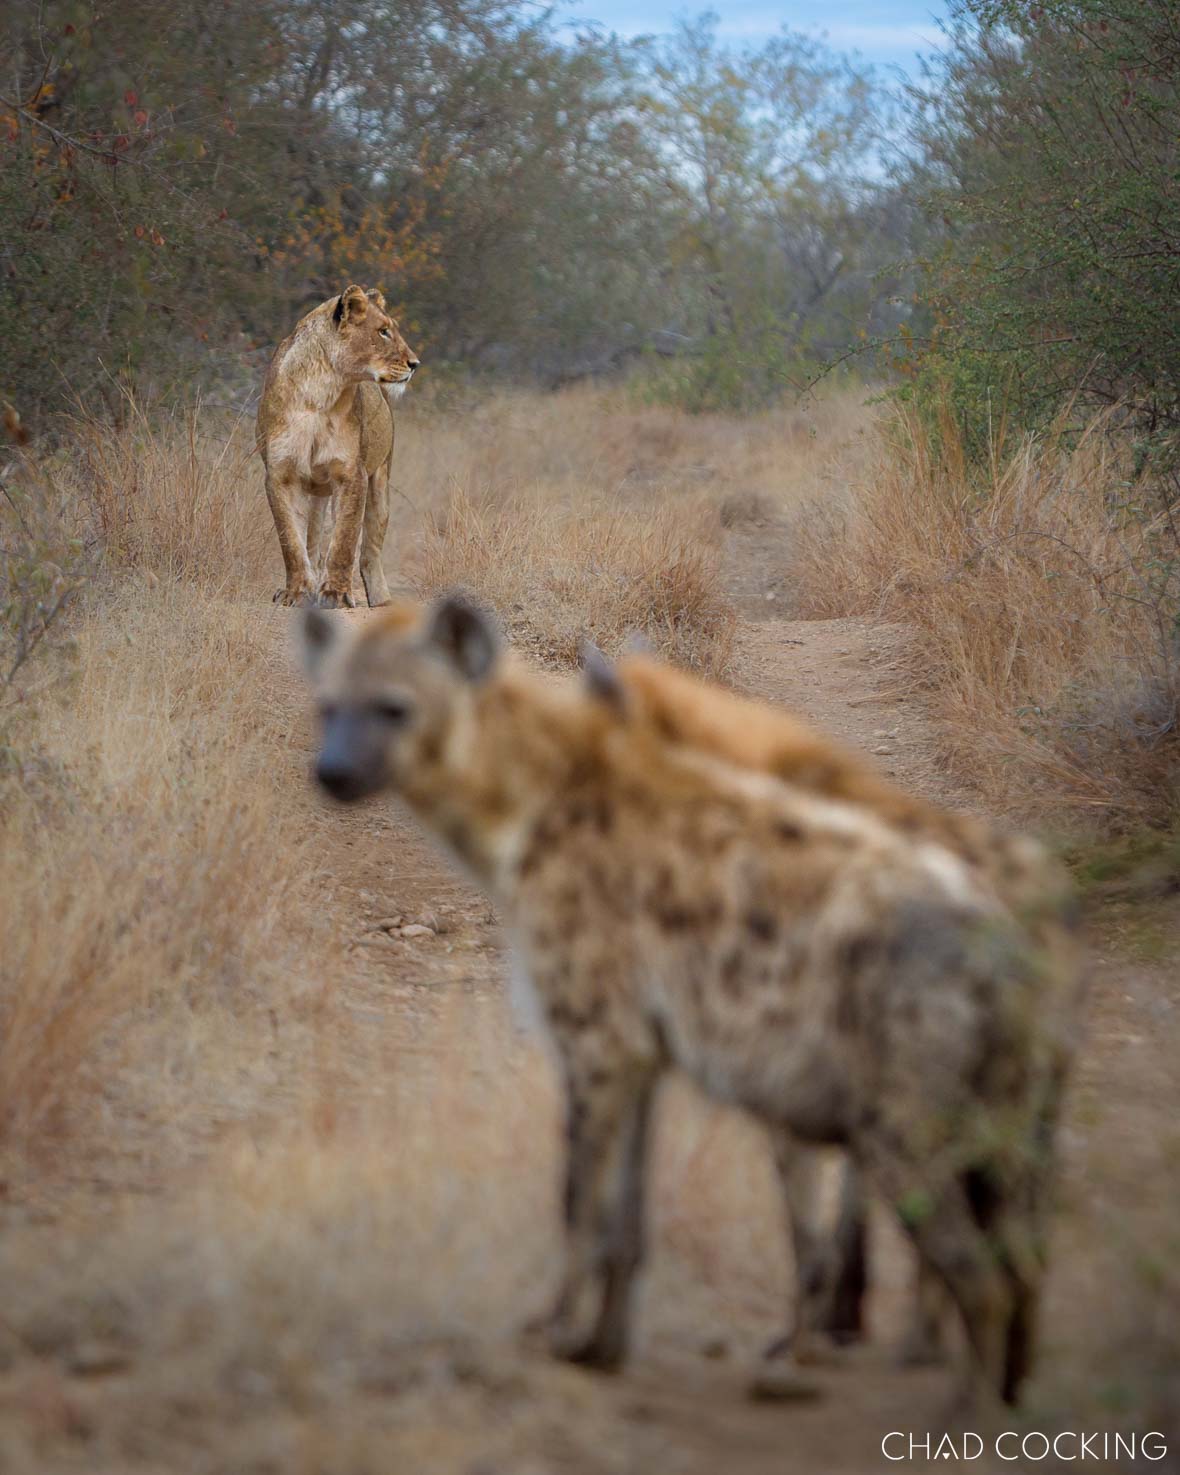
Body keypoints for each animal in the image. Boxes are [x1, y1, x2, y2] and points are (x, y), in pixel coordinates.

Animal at [256, 286, 419, 608]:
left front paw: (336, 594)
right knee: (314, 543)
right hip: (317, 491)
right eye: (383, 331)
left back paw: (380, 599)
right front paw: (296, 592)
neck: (321, 388)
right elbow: (291, 542)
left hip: (380, 481)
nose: (415, 364)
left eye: (392, 329)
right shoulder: (280, 474)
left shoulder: (351, 473)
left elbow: (344, 539)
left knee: (369, 549)